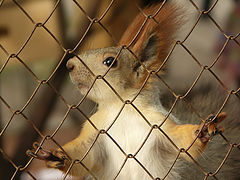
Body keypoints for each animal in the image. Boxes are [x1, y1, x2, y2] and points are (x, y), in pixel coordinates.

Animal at [26, 1, 240, 180]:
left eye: (110, 61)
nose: (69, 65)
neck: (122, 108)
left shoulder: (160, 124)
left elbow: (184, 144)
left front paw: (202, 130)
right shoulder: (94, 132)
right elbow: (81, 159)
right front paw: (54, 154)